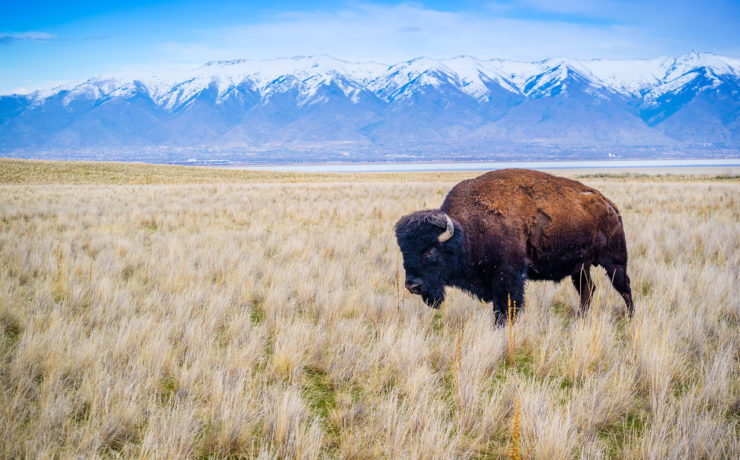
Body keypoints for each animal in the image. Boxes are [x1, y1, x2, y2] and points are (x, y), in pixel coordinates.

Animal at [396, 167, 632, 322]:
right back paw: (581, 318)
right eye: (405, 252)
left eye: (431, 250)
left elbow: (507, 307)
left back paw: (630, 317)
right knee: (587, 290)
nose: (412, 285)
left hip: (614, 260)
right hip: (580, 267)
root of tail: (609, 205)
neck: (467, 232)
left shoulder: (508, 277)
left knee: (623, 286)